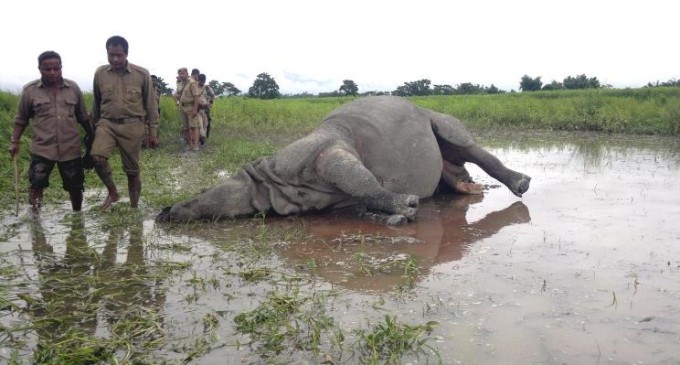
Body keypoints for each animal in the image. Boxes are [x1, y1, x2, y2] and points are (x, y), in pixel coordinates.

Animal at [159, 95, 532, 223]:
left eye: (200, 197)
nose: (165, 211)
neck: (265, 182)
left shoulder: (325, 153)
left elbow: (360, 180)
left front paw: (407, 205)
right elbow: (358, 199)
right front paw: (392, 217)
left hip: (434, 114)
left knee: (458, 137)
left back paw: (521, 184)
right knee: (449, 166)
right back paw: (469, 190)